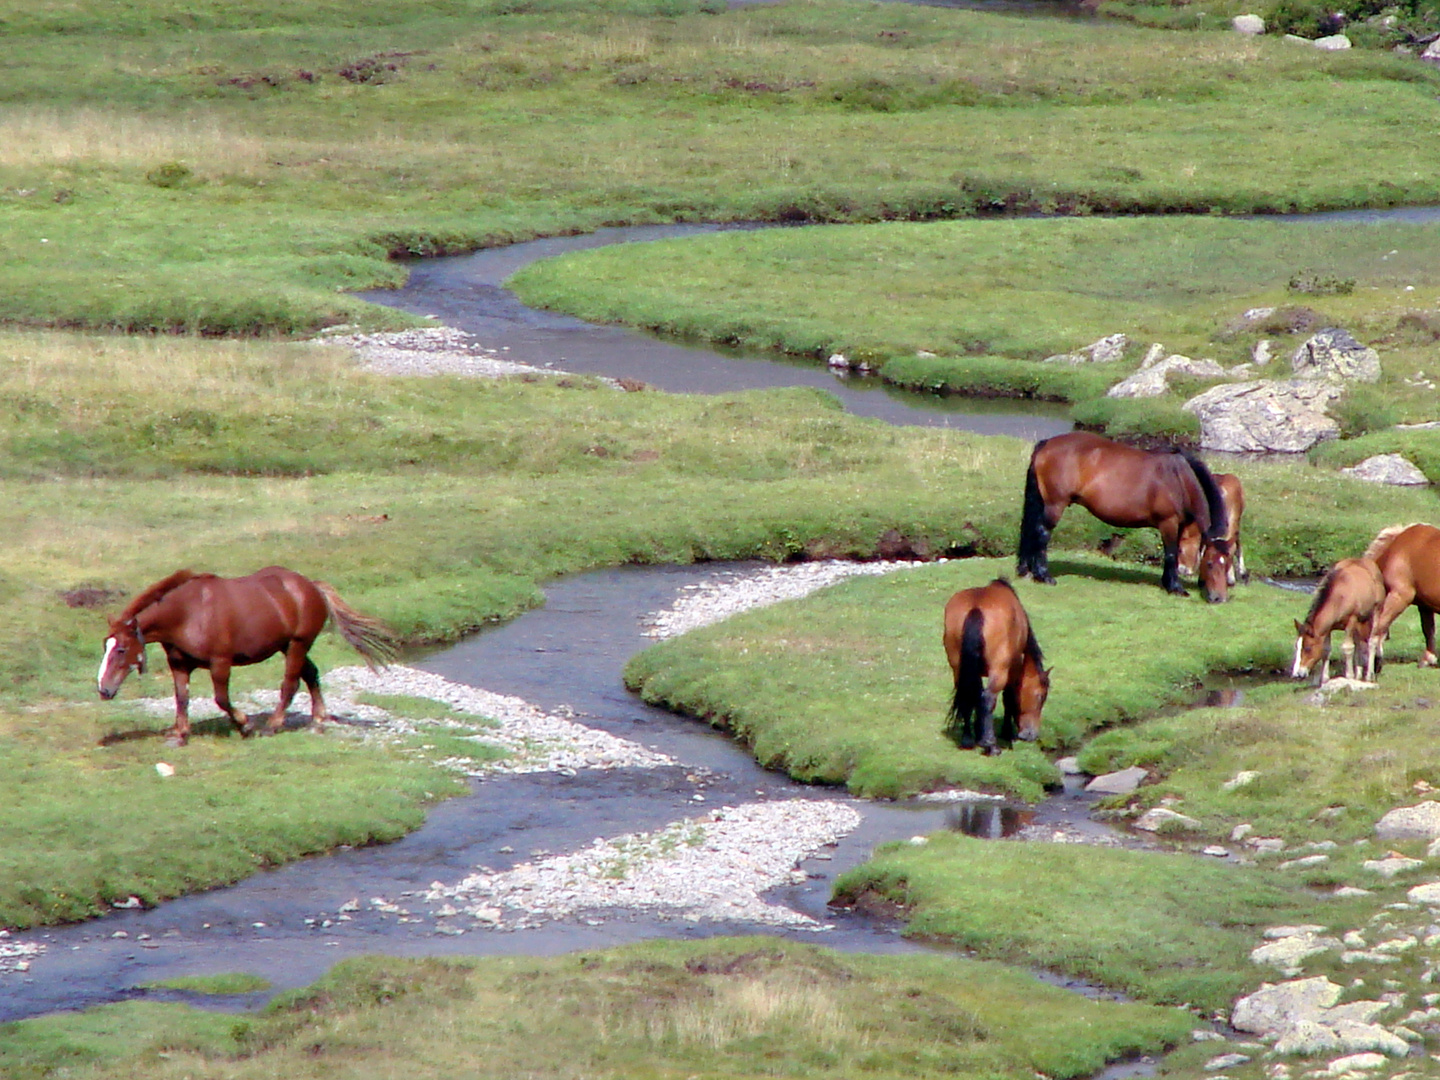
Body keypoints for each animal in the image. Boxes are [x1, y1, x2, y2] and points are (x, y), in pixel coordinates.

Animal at [98, 567, 397, 754]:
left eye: (121, 649)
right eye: (106, 645)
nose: (103, 690)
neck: (188, 613)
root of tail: (312, 586)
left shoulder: (220, 663)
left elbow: (221, 699)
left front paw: (245, 725)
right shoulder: (179, 664)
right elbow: (182, 698)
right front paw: (181, 735)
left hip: (297, 645)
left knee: (290, 684)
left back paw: (273, 726)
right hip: (288, 647)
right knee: (311, 674)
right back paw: (318, 720)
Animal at [938, 578, 1054, 754]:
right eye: (1040, 696)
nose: (1030, 735)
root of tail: (976, 608)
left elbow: (976, 696)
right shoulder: (1012, 670)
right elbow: (1008, 697)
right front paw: (1006, 732)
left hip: (958, 668)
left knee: (967, 696)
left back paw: (968, 739)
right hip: (998, 671)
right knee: (988, 698)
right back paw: (991, 745)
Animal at [1013, 429, 1238, 601]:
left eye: (1228, 565)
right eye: (1209, 564)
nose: (1219, 598)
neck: (1180, 478)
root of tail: (1047, 443)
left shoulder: (1180, 525)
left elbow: (1176, 554)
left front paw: (1169, 583)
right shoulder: (1168, 523)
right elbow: (1171, 553)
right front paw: (1175, 588)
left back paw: (1028, 570)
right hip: (1055, 505)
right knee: (1042, 534)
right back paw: (1044, 576)